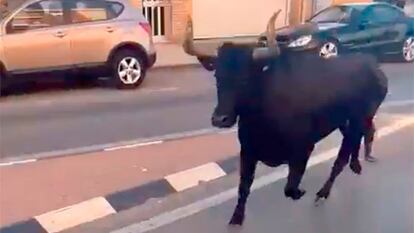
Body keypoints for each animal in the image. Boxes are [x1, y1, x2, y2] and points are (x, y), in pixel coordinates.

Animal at [194, 44, 388, 226]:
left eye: (244, 78)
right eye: (217, 76)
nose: (220, 119)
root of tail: (372, 63)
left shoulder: (303, 149)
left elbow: (290, 187)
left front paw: (300, 192)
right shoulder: (248, 151)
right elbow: (243, 187)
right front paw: (236, 218)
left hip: (361, 116)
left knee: (343, 155)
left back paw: (323, 192)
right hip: (346, 122)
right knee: (359, 137)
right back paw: (357, 165)